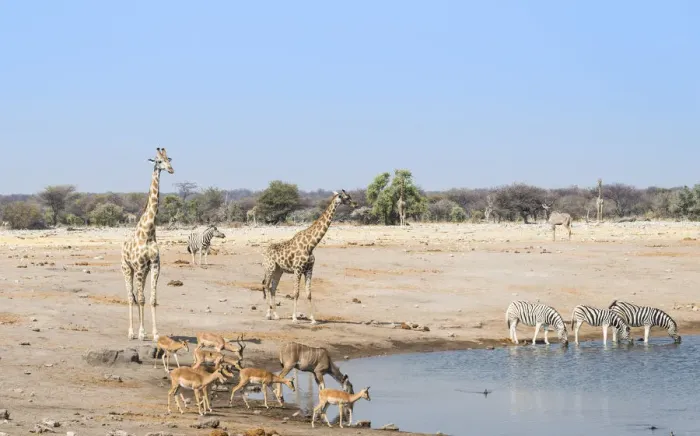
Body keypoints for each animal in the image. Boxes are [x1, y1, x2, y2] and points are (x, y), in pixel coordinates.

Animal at [121, 148, 174, 341]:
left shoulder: (154, 265)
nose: (171, 169)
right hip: (127, 269)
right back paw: (131, 332)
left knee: (138, 295)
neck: (149, 231)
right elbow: (141, 299)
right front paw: (142, 333)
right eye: (158, 161)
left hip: (141, 272)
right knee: (131, 297)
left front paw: (155, 333)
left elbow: (151, 299)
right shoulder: (139, 266)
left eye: (169, 159)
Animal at [261, 190, 356, 323]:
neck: (311, 245)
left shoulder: (309, 269)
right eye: (346, 198)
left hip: (279, 271)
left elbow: (309, 294)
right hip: (270, 268)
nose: (355, 204)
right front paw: (294, 318)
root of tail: (265, 252)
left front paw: (313, 319)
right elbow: (296, 293)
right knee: (266, 285)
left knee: (272, 288)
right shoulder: (297, 269)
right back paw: (268, 315)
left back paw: (276, 315)